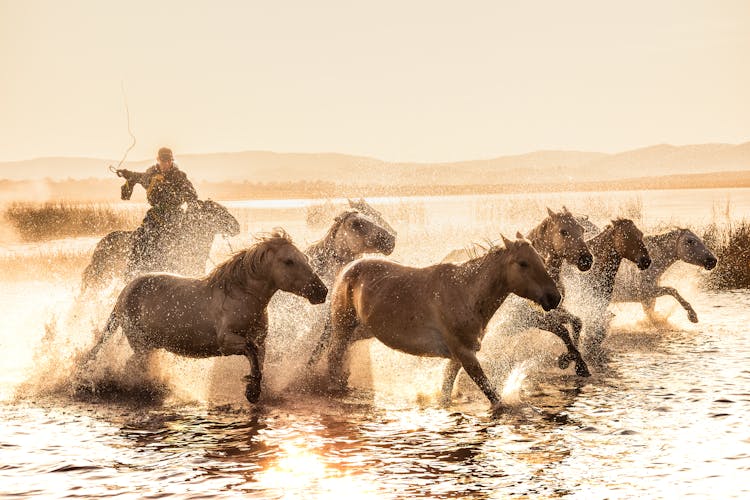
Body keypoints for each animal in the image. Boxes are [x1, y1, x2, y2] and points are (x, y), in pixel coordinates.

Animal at [83, 229, 328, 402]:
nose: (322, 291)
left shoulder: (261, 340)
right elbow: (251, 353)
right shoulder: (227, 341)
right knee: (131, 367)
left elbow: (258, 363)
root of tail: (124, 292)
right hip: (141, 344)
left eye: (304, 258)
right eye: (289, 261)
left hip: (150, 344)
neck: (241, 296)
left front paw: (254, 391)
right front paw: (251, 391)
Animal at [320, 234, 560, 414]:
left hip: (361, 331)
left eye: (540, 258)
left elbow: (446, 389)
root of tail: (349, 268)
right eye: (523, 263)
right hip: (343, 328)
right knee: (333, 356)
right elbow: (491, 393)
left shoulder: (460, 355)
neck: (466, 292)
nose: (554, 297)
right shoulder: (465, 354)